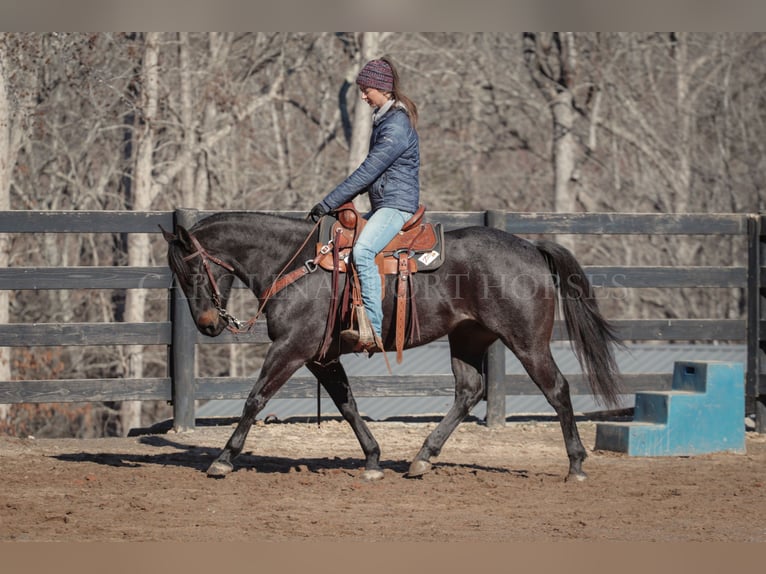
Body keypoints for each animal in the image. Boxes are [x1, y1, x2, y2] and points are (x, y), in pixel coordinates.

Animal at [164, 210, 624, 482]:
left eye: (190, 271)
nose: (208, 325)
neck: (297, 263)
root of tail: (532, 249)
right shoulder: (321, 358)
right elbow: (347, 404)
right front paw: (372, 459)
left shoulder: (291, 349)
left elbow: (255, 399)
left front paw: (223, 458)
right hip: (468, 338)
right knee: (468, 391)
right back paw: (423, 456)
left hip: (528, 343)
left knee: (557, 390)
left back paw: (576, 465)